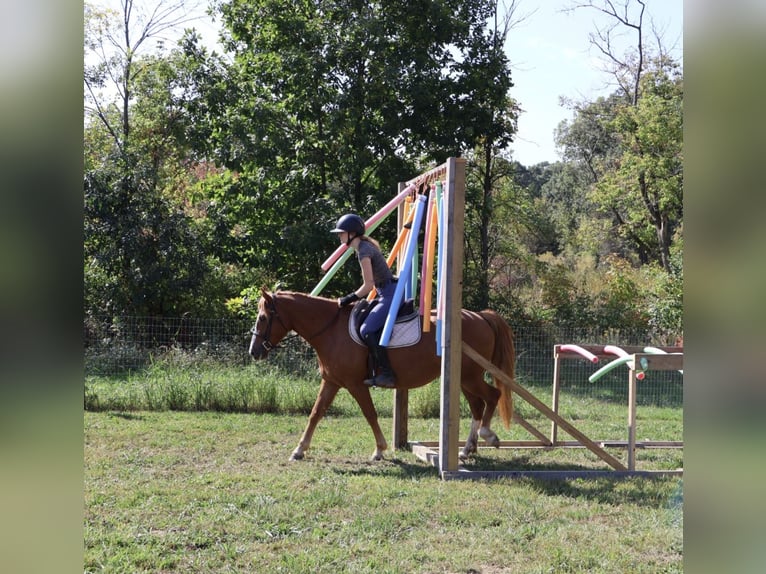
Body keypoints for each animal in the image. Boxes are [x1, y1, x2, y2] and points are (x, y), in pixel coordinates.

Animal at [249, 289, 516, 461]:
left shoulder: (355, 384)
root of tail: (480, 316)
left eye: (263, 317)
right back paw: (467, 449)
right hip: (463, 379)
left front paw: (379, 450)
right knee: (477, 405)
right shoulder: (332, 382)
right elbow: (316, 413)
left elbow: (370, 413)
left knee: (492, 396)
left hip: (469, 377)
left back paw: (488, 436)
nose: (254, 351)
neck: (331, 329)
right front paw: (299, 450)